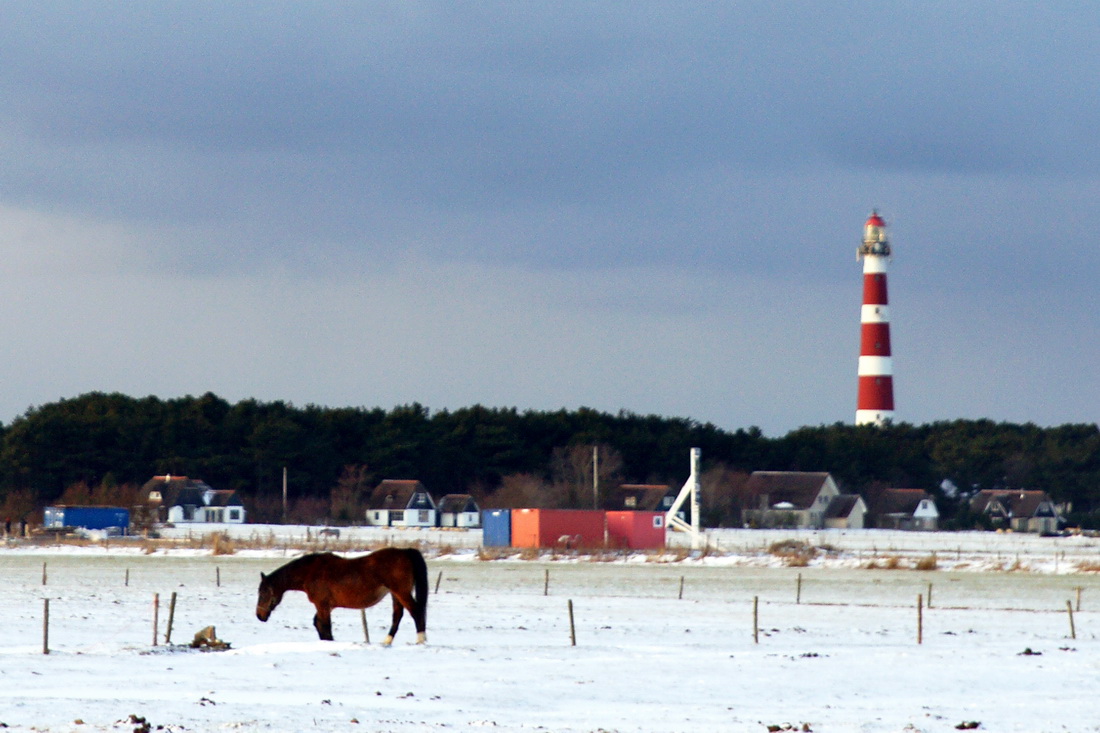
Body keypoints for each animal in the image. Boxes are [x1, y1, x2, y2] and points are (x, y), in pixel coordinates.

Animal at [257, 545, 429, 642]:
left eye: (263, 593)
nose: (259, 615)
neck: (310, 572)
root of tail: (404, 552)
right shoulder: (326, 606)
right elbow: (319, 624)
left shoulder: (322, 605)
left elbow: (325, 626)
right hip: (395, 594)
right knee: (398, 615)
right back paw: (386, 642)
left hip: (402, 592)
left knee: (416, 612)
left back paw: (420, 641)